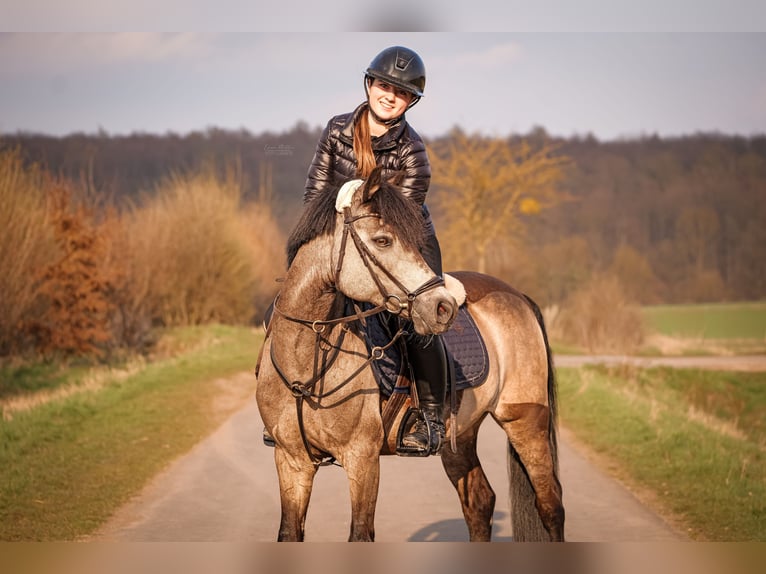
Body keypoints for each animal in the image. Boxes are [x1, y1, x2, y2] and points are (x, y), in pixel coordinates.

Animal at [254, 167, 564, 541]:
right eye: (383, 240)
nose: (442, 307)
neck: (308, 361)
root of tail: (517, 295)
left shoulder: (362, 458)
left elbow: (360, 533)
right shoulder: (292, 461)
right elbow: (289, 532)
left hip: (526, 422)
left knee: (550, 504)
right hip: (460, 435)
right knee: (479, 502)